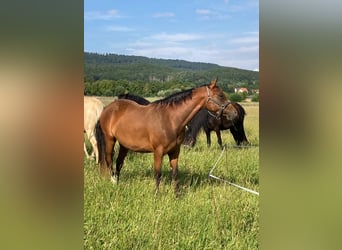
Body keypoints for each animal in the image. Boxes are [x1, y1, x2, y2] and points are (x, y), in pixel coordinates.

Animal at [95, 79, 228, 190]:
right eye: (221, 95)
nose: (231, 111)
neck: (170, 119)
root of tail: (108, 108)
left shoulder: (175, 151)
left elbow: (175, 173)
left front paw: (177, 195)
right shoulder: (158, 152)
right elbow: (158, 174)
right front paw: (156, 195)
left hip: (124, 145)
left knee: (119, 162)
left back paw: (118, 182)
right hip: (110, 140)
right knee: (109, 160)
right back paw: (113, 181)